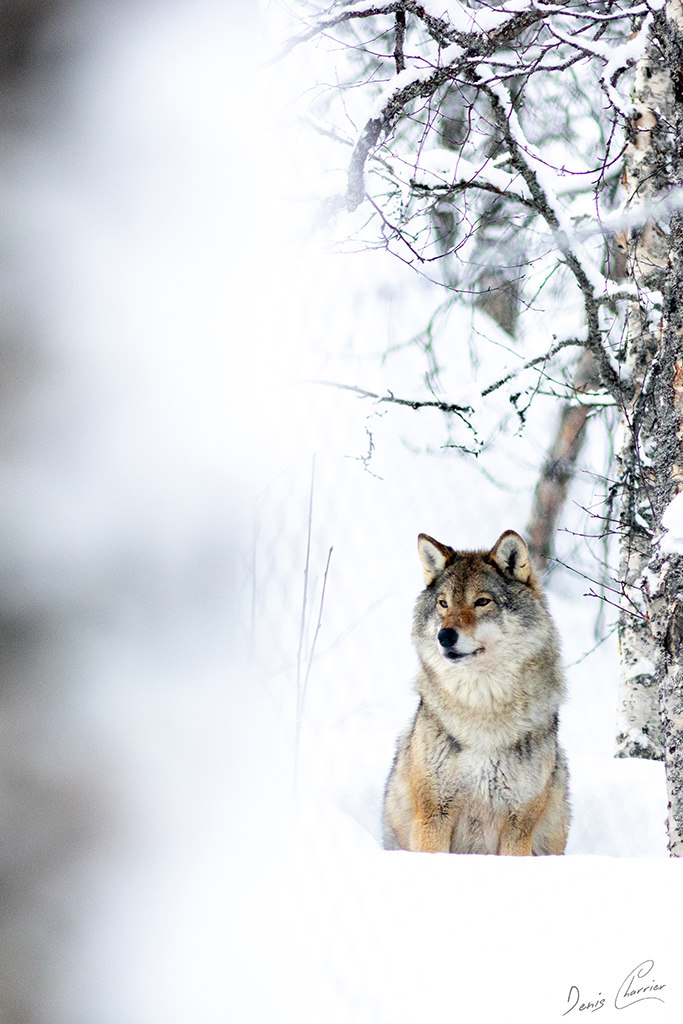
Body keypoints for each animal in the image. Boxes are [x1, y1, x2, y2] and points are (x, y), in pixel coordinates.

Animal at [382, 530, 570, 855]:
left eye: (482, 601)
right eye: (443, 603)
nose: (445, 636)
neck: (482, 712)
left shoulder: (519, 825)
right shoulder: (433, 813)